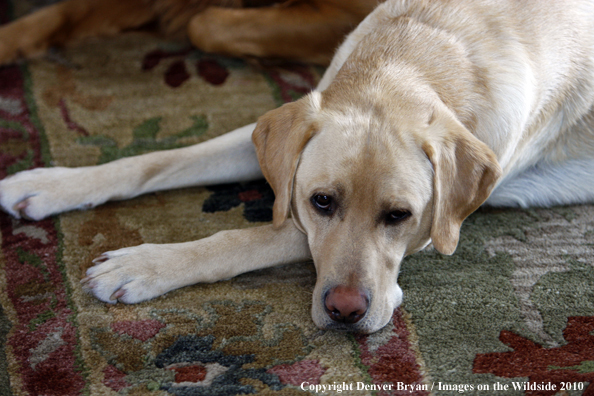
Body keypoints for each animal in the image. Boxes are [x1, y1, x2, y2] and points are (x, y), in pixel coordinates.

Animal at [1, 0, 592, 334]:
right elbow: (157, 162)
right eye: (321, 201)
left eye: (400, 215)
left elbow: (242, 239)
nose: (345, 311)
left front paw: (141, 266)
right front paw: (51, 183)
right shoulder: (280, 138)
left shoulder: (428, 232)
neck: (415, 58)